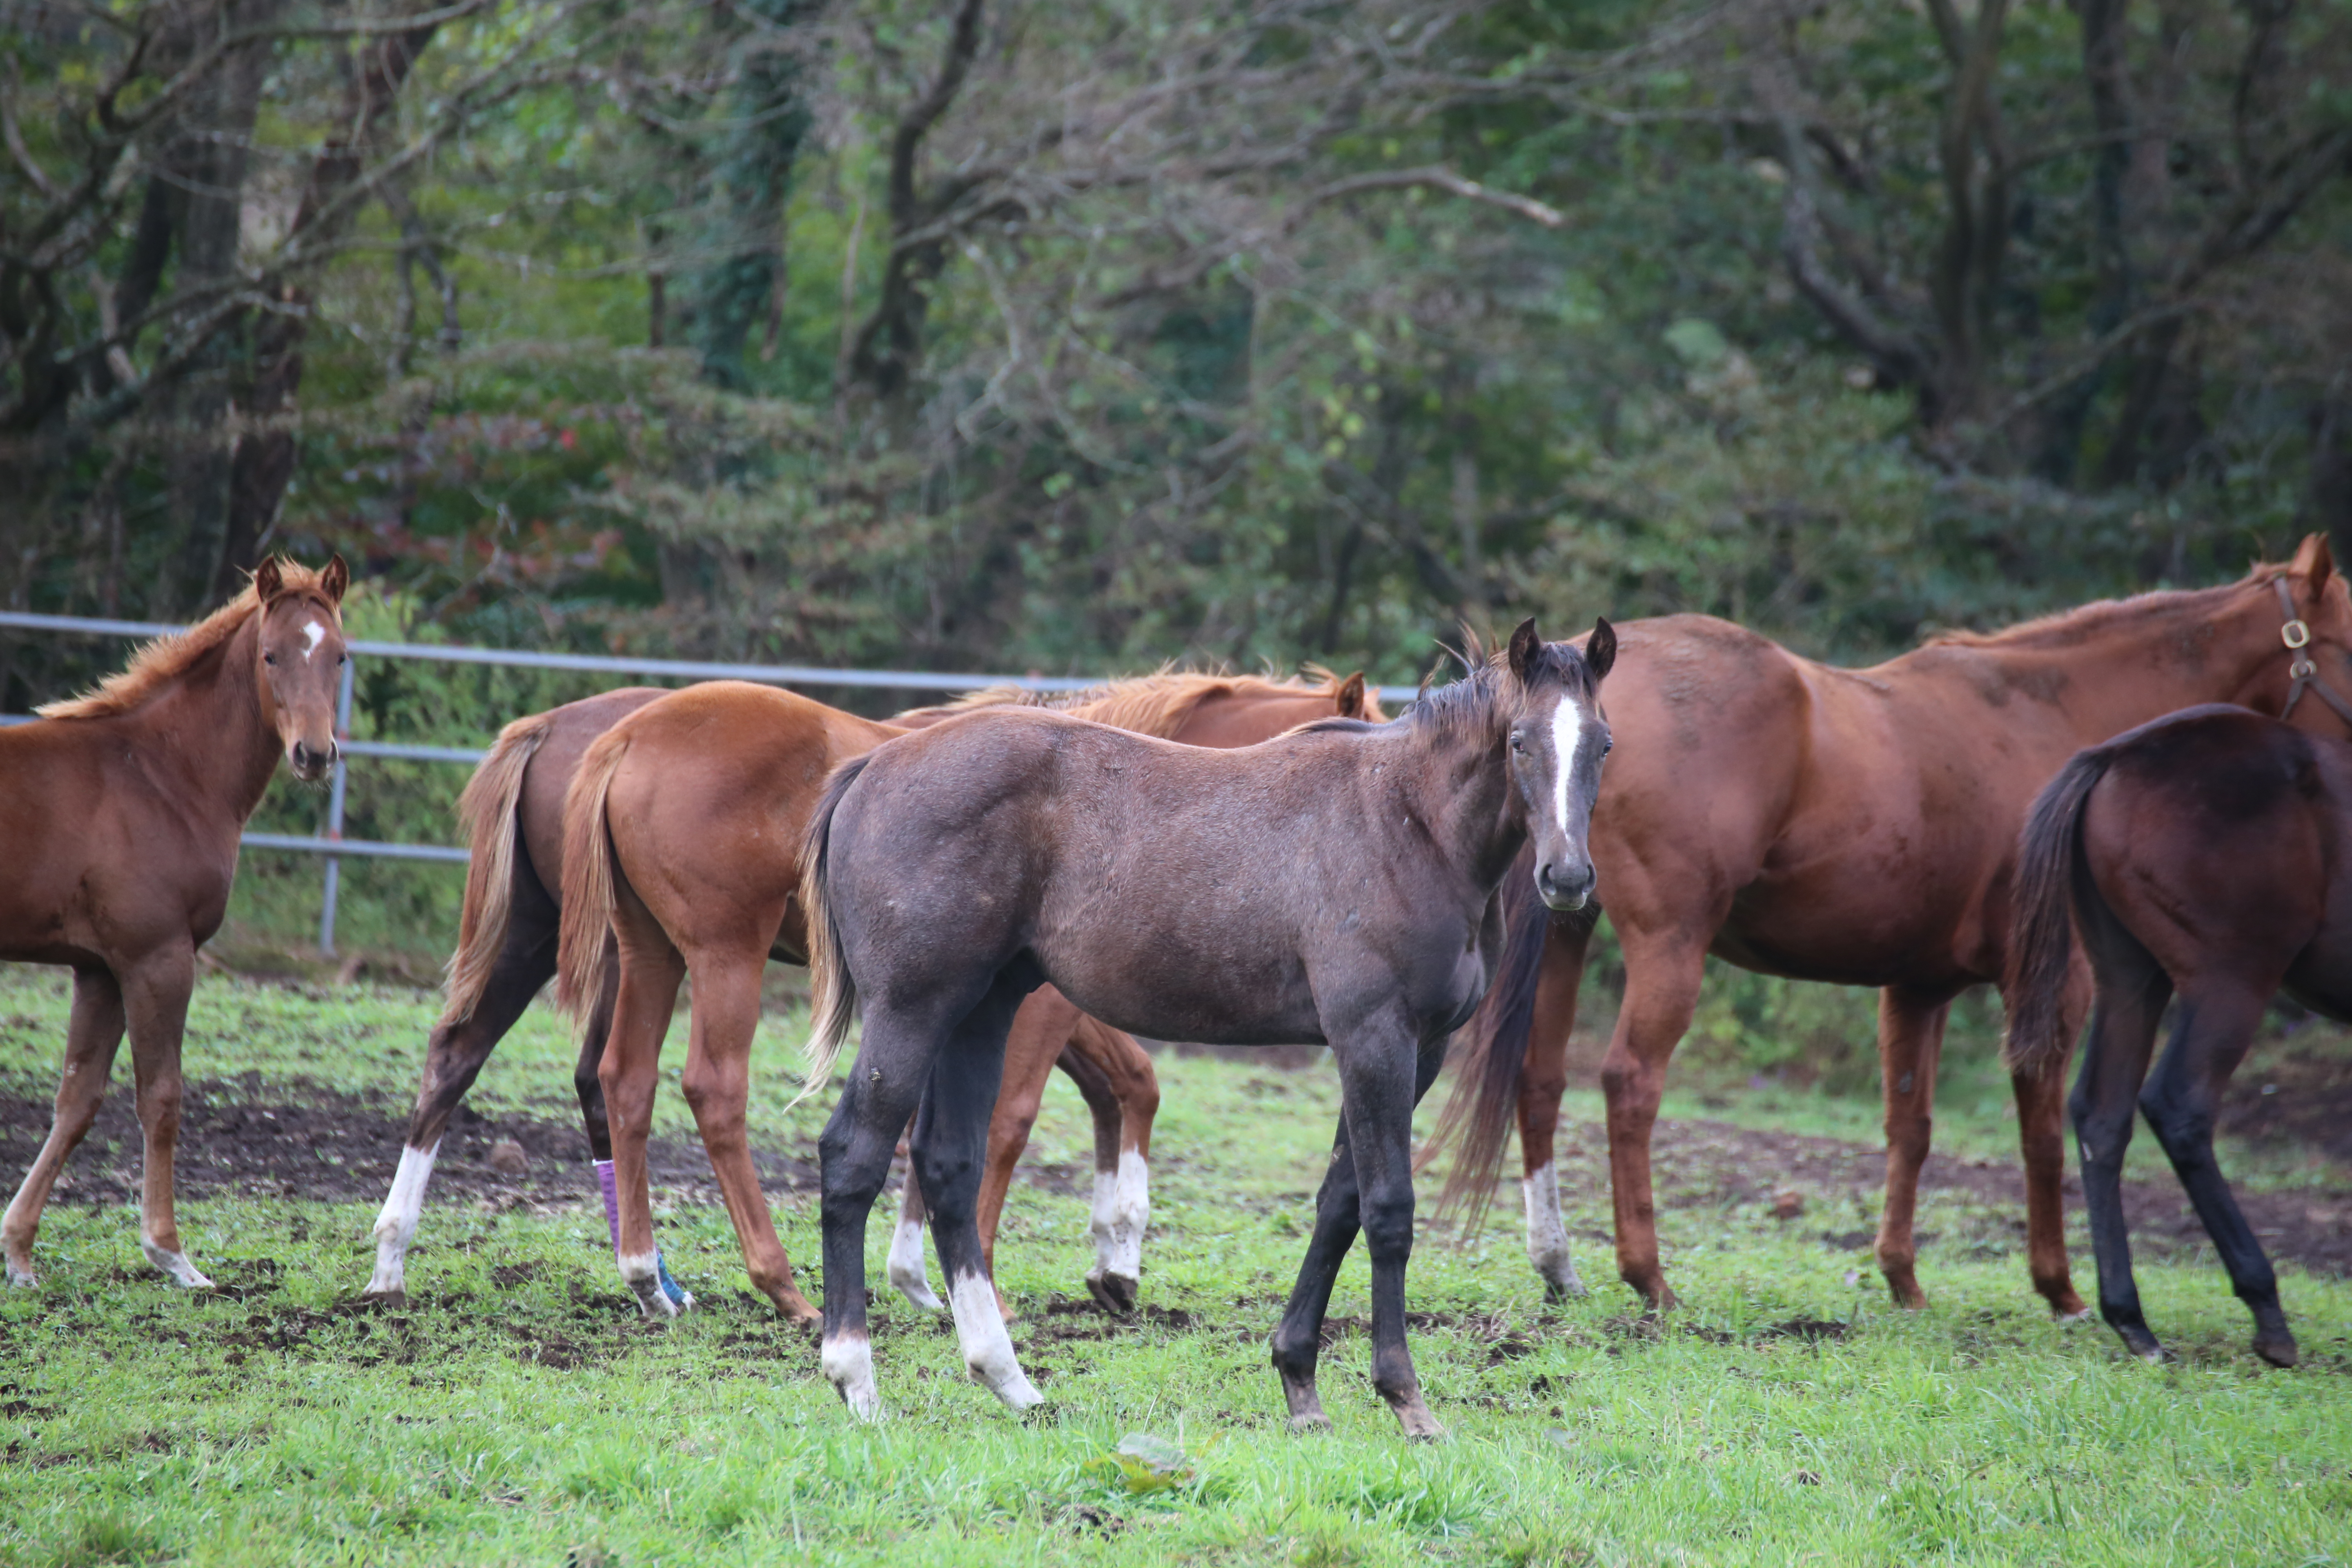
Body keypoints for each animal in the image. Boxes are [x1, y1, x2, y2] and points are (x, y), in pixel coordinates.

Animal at [2, 557, 348, 1297]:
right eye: (271, 654)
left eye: (339, 656)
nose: (313, 754)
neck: (163, 775)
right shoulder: (157, 959)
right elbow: (161, 1097)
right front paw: (171, 1253)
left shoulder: (99, 970)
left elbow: (77, 1101)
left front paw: (18, 1252)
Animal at [357, 668, 1373, 1307]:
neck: (1109, 784)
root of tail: (620, 732)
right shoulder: (1036, 1006)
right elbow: (1009, 1122)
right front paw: (962, 1276)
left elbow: (1118, 1088)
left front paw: (1107, 1258)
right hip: (714, 956)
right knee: (707, 1090)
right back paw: (780, 1285)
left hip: (604, 947)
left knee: (536, 1068)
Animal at [800, 620, 1608, 1439]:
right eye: (1518, 741)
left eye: (1602, 744)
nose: (1568, 880)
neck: (1408, 823)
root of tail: (873, 767)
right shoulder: (1375, 1039)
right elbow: (1387, 1211)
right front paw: (1405, 1398)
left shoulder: (1423, 1050)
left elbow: (1338, 1203)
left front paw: (1299, 1380)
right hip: (913, 1010)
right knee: (854, 1155)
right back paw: (856, 1380)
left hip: (980, 1011)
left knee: (948, 1166)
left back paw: (1009, 1381)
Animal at [2004, 705, 2352, 1363]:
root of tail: (2118, 753)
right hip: (2231, 978)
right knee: (2177, 1104)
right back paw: (2265, 1308)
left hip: (2129, 977)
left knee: (2102, 1113)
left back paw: (2130, 1319)